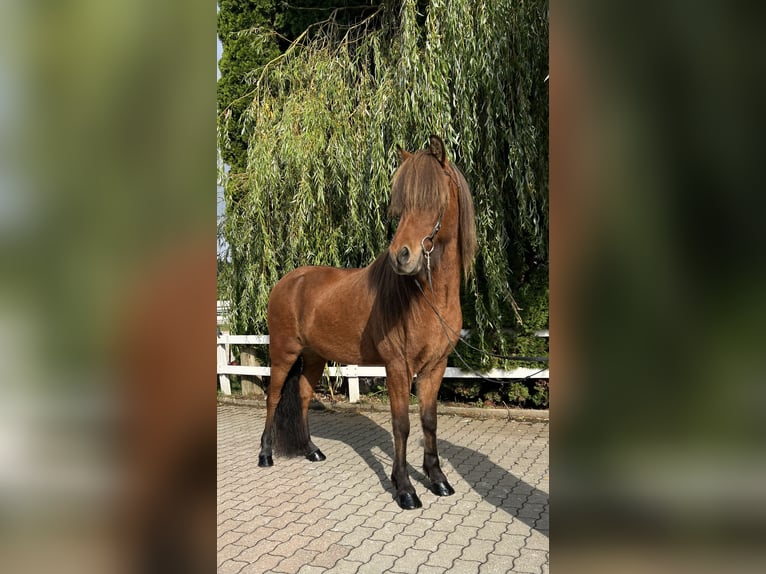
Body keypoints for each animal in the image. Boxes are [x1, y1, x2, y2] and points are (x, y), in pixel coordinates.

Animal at [258, 136, 476, 512]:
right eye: (401, 204)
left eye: (435, 199)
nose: (401, 256)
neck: (428, 298)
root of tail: (287, 281)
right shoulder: (398, 366)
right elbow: (402, 425)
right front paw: (405, 489)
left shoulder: (435, 366)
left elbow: (429, 422)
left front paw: (438, 480)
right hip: (283, 352)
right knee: (273, 397)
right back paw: (266, 454)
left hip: (314, 357)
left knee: (303, 397)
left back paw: (312, 451)